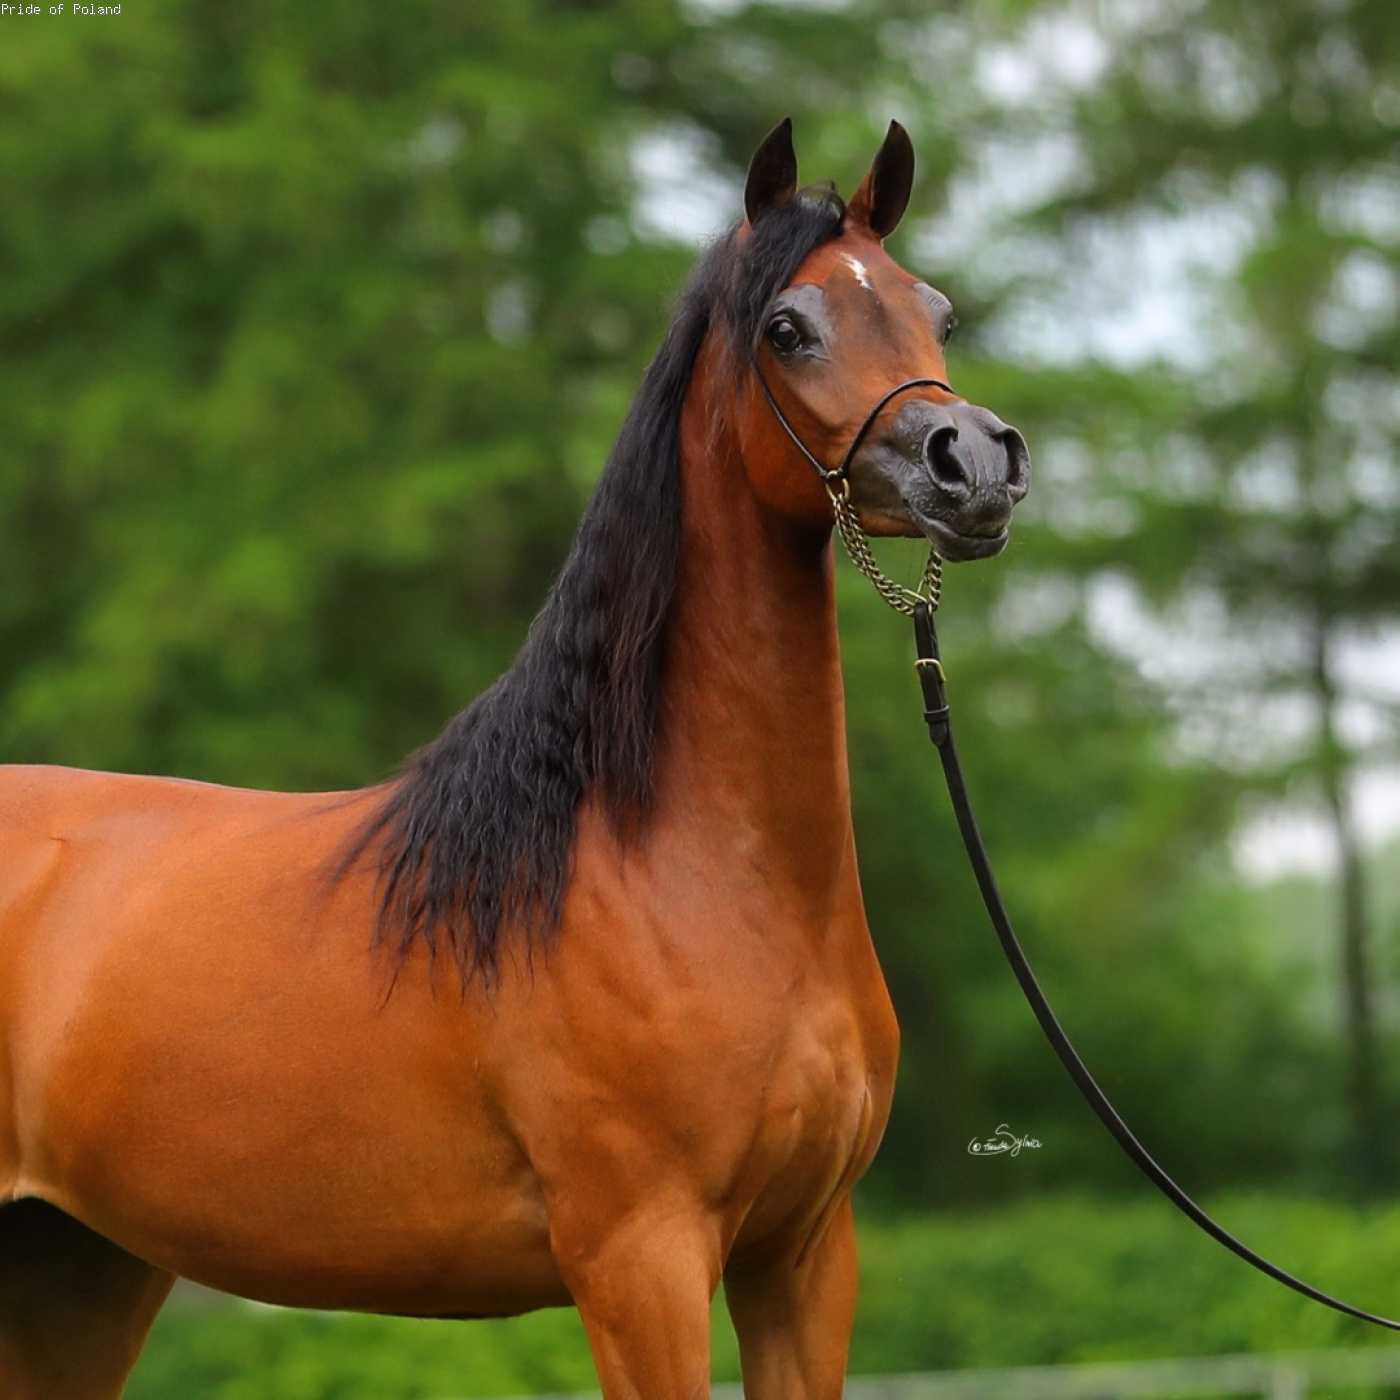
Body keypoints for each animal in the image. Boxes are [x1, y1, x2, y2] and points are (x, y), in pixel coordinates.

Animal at [0, 118, 1029, 1398]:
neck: (679, 866)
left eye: (933, 308)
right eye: (787, 327)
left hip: (75, 1263)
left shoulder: (801, 1254)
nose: (972, 462)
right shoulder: (640, 1255)